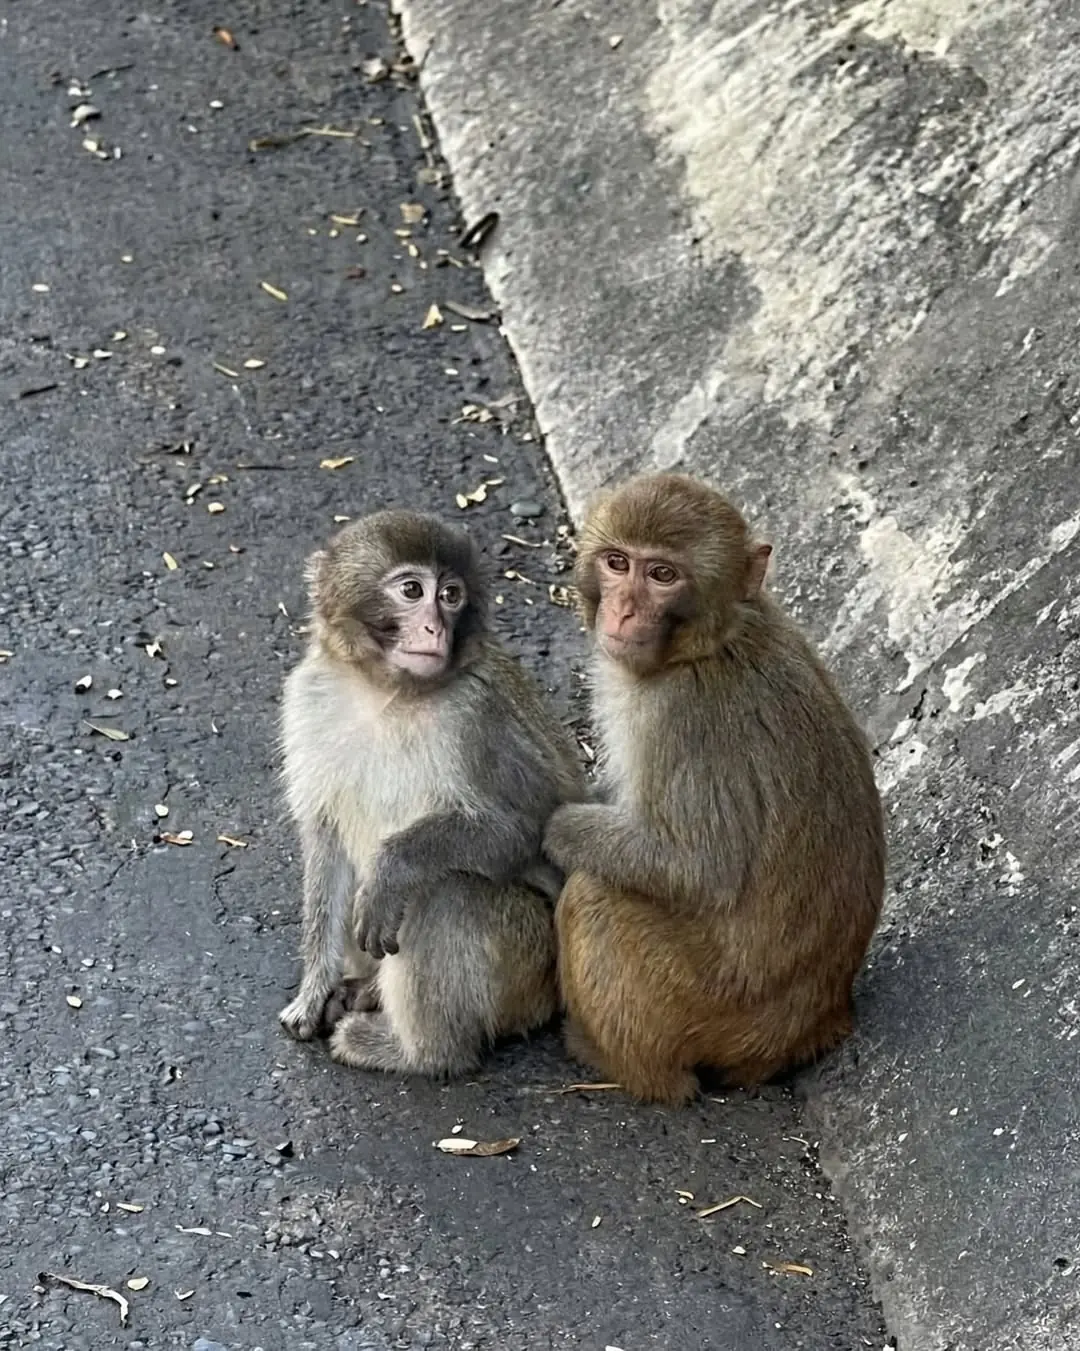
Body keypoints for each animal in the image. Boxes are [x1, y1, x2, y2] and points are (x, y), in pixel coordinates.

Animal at [277, 509, 585, 1078]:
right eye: (411, 590)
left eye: (451, 596)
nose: (435, 628)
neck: (387, 692)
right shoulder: (308, 696)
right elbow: (324, 839)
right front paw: (313, 992)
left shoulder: (474, 718)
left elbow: (524, 830)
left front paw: (393, 867)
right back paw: (366, 991)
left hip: (528, 964)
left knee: (444, 892)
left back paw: (419, 1053)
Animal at [543, 472, 885, 1106]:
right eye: (616, 562)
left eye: (662, 575)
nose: (624, 611)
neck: (708, 644)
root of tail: (821, 1019)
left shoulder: (684, 719)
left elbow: (700, 869)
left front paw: (557, 827)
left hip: (703, 1004)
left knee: (593, 896)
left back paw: (626, 1067)